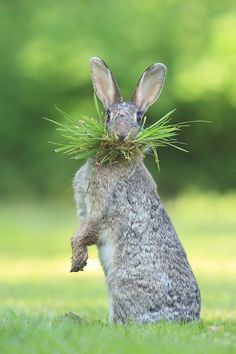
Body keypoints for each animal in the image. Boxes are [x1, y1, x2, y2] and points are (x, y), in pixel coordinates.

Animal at [70, 56, 201, 324]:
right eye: (108, 115)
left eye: (139, 118)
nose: (121, 135)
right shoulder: (83, 210)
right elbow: (80, 232)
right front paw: (78, 261)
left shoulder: (101, 209)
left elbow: (87, 232)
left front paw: (77, 262)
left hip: (120, 282)